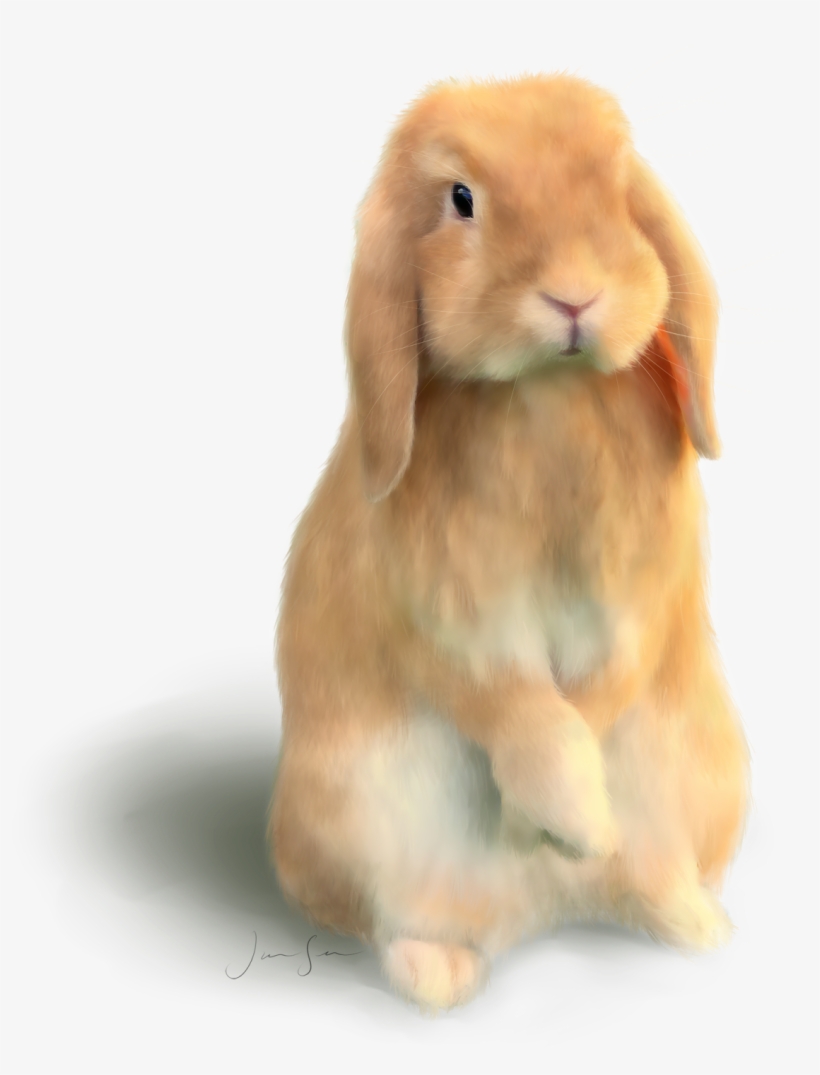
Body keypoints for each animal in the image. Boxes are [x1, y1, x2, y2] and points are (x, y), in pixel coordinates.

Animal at [269, 74, 749, 1011]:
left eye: (617, 184)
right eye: (461, 199)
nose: (573, 295)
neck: (547, 394)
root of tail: (547, 917)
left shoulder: (638, 605)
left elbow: (597, 694)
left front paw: (569, 829)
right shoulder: (449, 622)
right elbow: (523, 712)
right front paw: (571, 822)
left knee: (647, 876)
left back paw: (690, 923)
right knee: (419, 916)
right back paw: (442, 969)